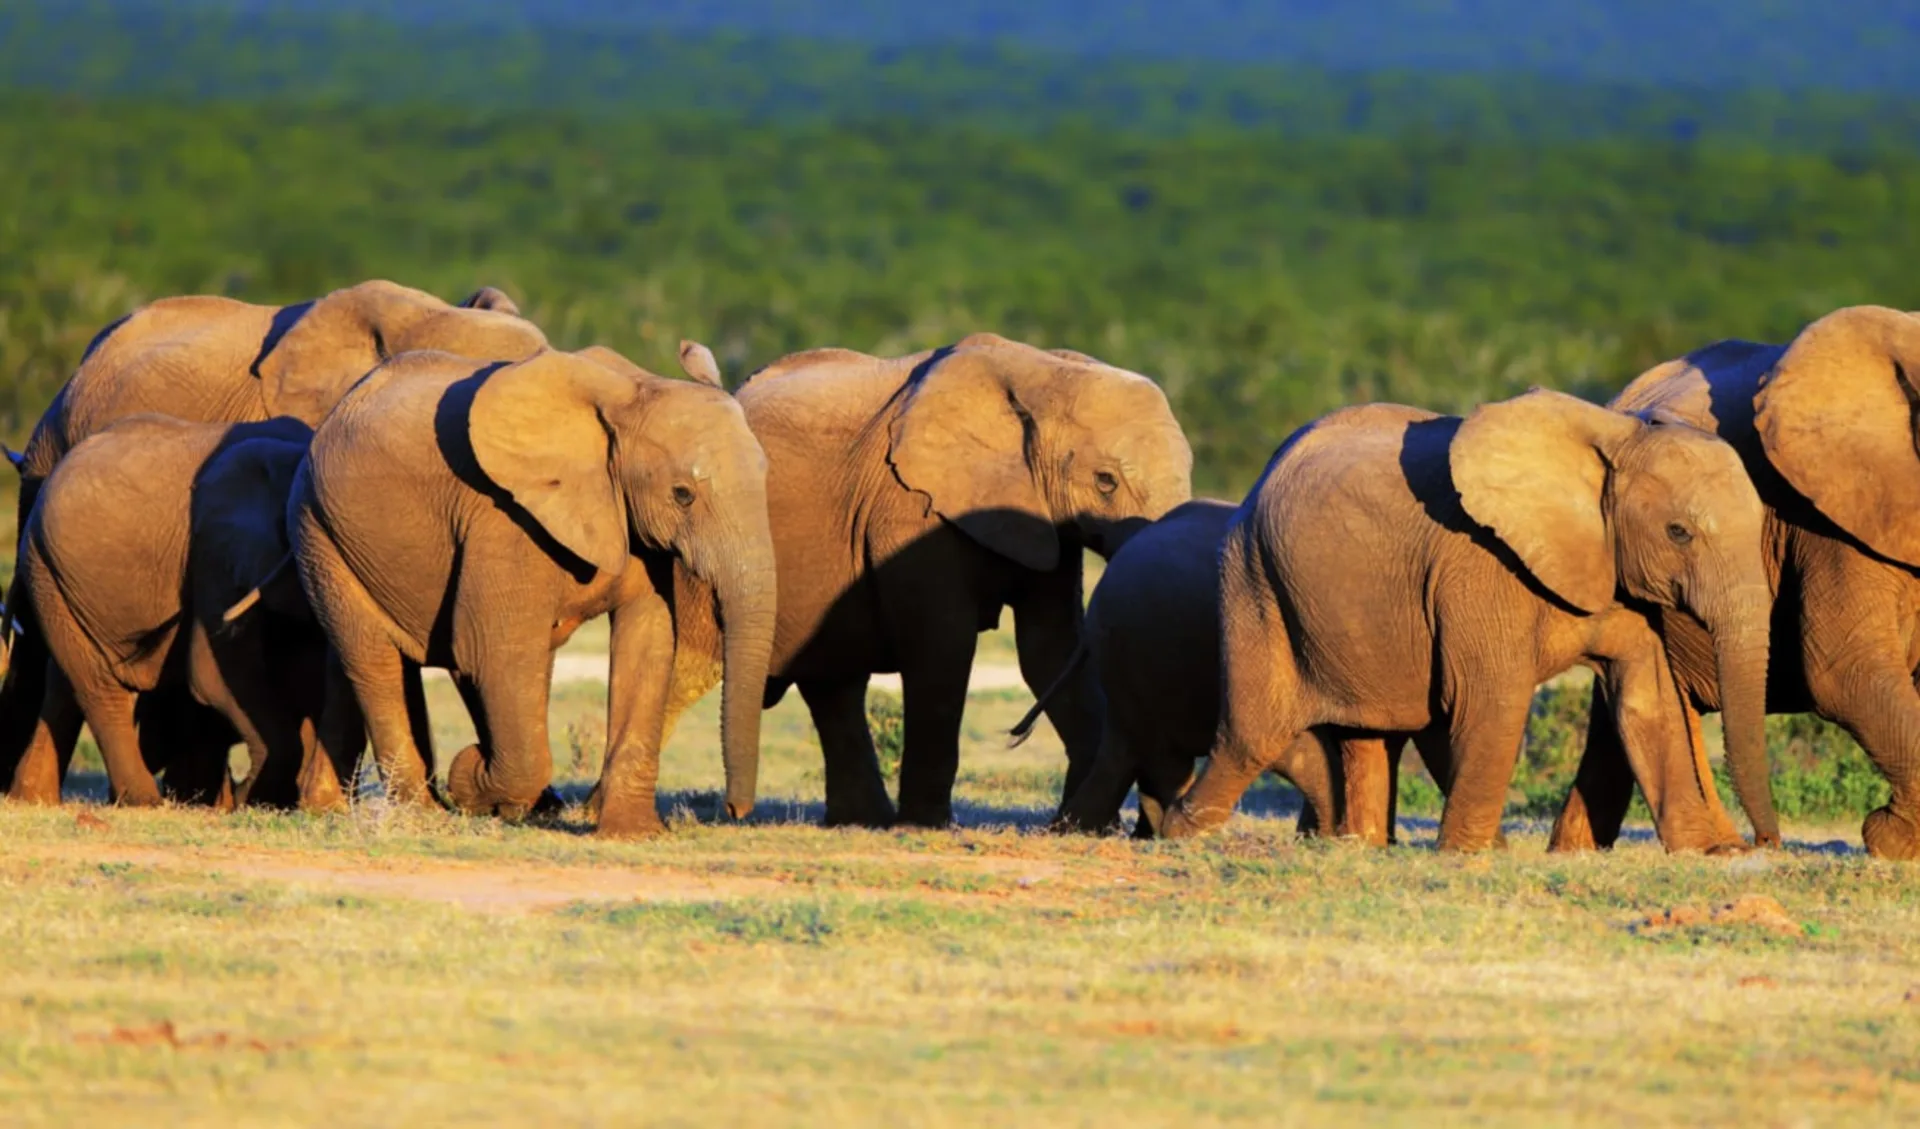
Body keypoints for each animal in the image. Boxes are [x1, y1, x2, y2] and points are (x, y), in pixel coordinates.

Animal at [8, 415, 335, 807]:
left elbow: (301, 669)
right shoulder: (214, 551)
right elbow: (213, 673)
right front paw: (253, 799)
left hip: (58, 582)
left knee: (66, 680)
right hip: (43, 568)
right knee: (99, 687)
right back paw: (145, 801)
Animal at [287, 343, 776, 837]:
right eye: (682, 494)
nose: (736, 811)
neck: (634, 392)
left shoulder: (635, 530)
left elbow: (647, 641)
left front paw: (634, 834)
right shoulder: (505, 520)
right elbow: (491, 651)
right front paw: (470, 775)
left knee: (357, 663)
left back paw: (328, 806)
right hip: (317, 528)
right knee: (377, 661)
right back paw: (424, 814)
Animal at [661, 333, 1192, 829]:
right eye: (1106, 481)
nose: (1014, 734)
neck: (1042, 371)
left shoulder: (1047, 521)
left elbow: (1049, 648)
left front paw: (1084, 829)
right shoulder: (909, 509)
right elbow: (943, 646)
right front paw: (928, 825)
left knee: (833, 680)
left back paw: (861, 820)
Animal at [1159, 389, 1776, 853]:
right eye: (1679, 532)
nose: (1762, 843)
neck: (1616, 436)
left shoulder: (1618, 573)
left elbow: (1650, 700)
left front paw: (1709, 854)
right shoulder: (1482, 565)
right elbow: (1497, 696)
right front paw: (1466, 856)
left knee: (1393, 724)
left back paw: (1361, 844)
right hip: (1253, 577)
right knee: (1254, 733)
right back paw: (1179, 834)